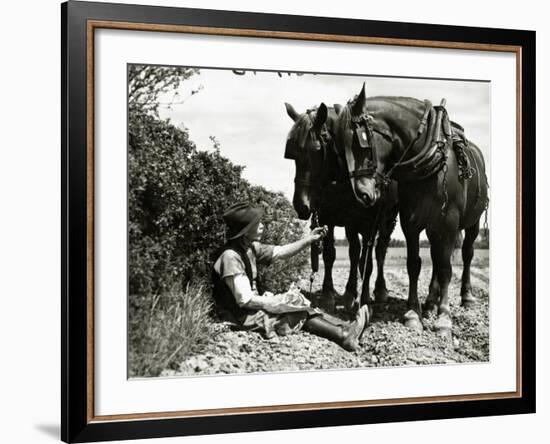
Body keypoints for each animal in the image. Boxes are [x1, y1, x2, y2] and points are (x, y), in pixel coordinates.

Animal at [286, 101, 398, 310]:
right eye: (293, 153)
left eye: (316, 150)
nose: (301, 205)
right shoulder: (332, 218)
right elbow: (331, 254)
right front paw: (330, 294)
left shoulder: (369, 222)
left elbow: (364, 258)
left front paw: (359, 296)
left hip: (388, 221)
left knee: (380, 252)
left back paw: (379, 291)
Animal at [324, 85, 492, 336]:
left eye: (360, 142)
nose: (363, 193)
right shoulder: (410, 222)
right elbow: (414, 265)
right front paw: (413, 313)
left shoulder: (449, 222)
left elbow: (446, 268)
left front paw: (444, 318)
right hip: (433, 228)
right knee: (436, 257)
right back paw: (430, 302)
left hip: (471, 222)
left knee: (466, 254)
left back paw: (466, 297)